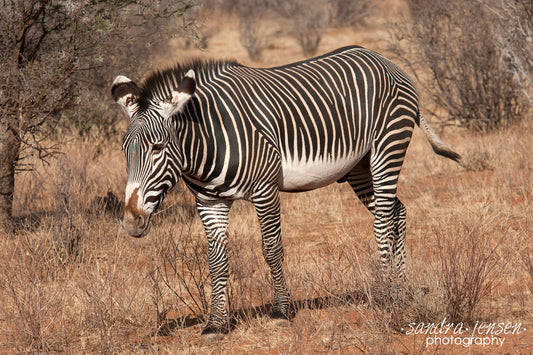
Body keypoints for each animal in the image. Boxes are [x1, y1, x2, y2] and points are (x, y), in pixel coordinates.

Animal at [113, 46, 462, 338]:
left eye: (158, 148)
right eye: (124, 150)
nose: (131, 221)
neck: (208, 141)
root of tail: (386, 60)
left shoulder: (266, 190)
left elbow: (271, 249)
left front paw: (281, 310)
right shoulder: (210, 201)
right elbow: (216, 260)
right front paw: (216, 323)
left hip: (387, 148)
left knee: (383, 221)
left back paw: (389, 291)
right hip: (359, 167)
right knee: (396, 212)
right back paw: (403, 285)